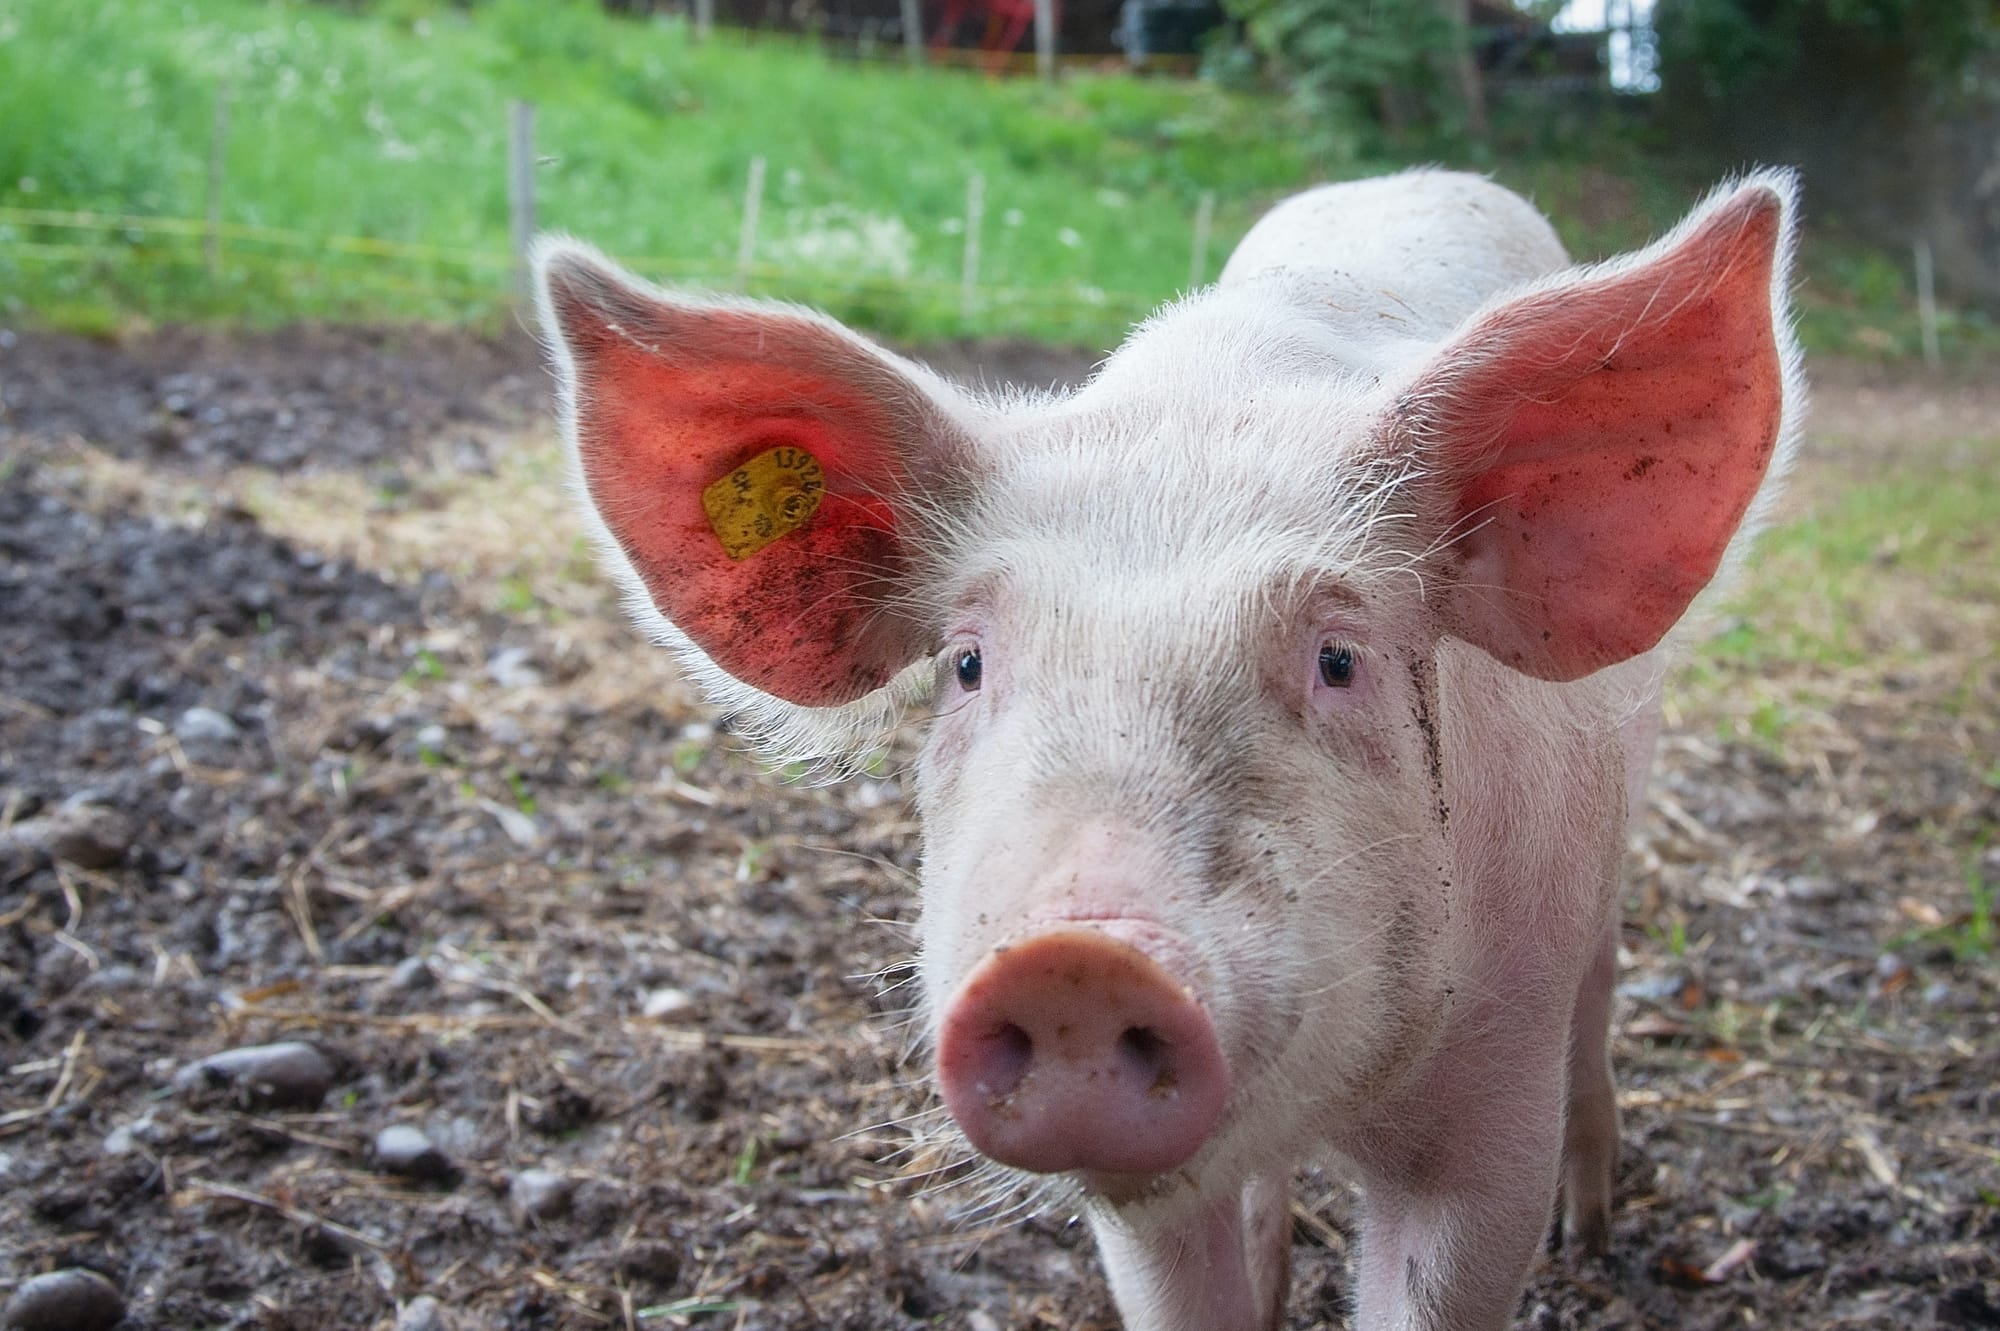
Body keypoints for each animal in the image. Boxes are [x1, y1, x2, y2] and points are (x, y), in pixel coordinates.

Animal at [533, 167, 1802, 1330]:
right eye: (966, 663)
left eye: (1338, 658)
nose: (1075, 962)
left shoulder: (1492, 1104)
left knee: (1599, 990)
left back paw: (1592, 1231)